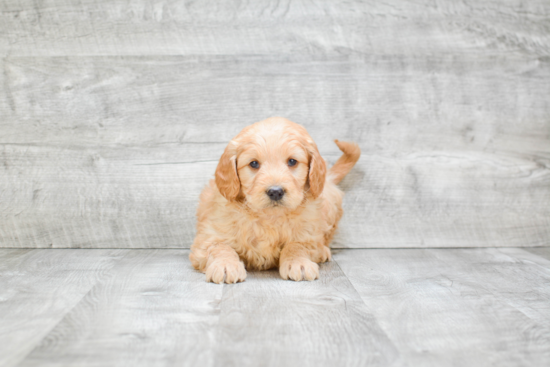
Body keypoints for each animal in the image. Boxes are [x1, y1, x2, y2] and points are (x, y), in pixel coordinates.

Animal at [190, 118, 362, 284]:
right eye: (254, 163)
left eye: (292, 161)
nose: (275, 192)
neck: (269, 217)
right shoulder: (209, 236)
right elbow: (220, 247)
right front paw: (225, 265)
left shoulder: (310, 235)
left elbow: (296, 245)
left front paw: (299, 262)